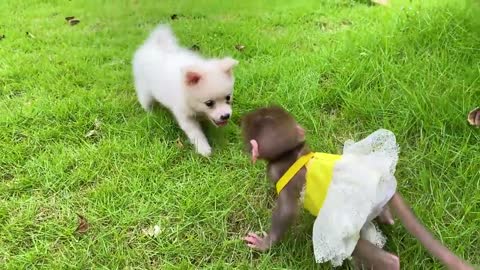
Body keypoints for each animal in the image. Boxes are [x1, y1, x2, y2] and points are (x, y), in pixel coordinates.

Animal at [132, 25, 237, 157]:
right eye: (209, 103)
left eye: (228, 97)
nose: (226, 116)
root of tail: (152, 45)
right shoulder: (184, 116)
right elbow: (196, 133)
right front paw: (204, 149)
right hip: (144, 88)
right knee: (145, 101)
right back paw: (150, 113)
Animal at [240, 106, 472, 270]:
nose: (240, 118)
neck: (293, 154)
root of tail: (382, 179)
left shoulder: (280, 176)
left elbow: (286, 211)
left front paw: (265, 243)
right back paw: (386, 217)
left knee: (358, 246)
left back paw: (389, 262)